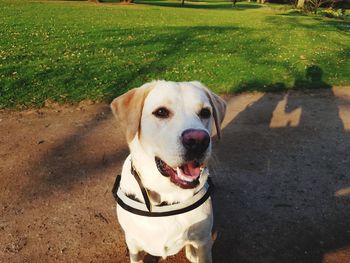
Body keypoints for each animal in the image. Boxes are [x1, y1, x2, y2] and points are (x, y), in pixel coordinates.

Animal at [111, 81, 227, 263]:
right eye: (161, 112)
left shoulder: (204, 241)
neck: (167, 193)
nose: (198, 141)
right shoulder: (133, 243)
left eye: (205, 113)